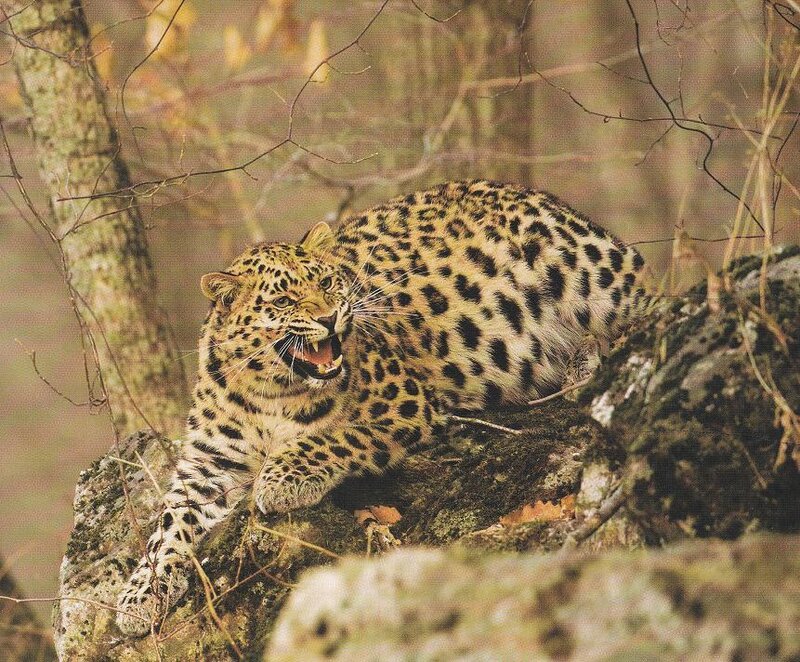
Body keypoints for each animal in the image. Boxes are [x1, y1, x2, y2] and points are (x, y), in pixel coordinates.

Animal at [116, 179, 647, 636]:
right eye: (285, 300)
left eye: (328, 284)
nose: (330, 317)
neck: (268, 390)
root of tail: (525, 190)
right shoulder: (209, 465)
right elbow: (167, 526)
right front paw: (139, 596)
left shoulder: (403, 404)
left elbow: (332, 437)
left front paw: (281, 480)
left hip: (592, 274)